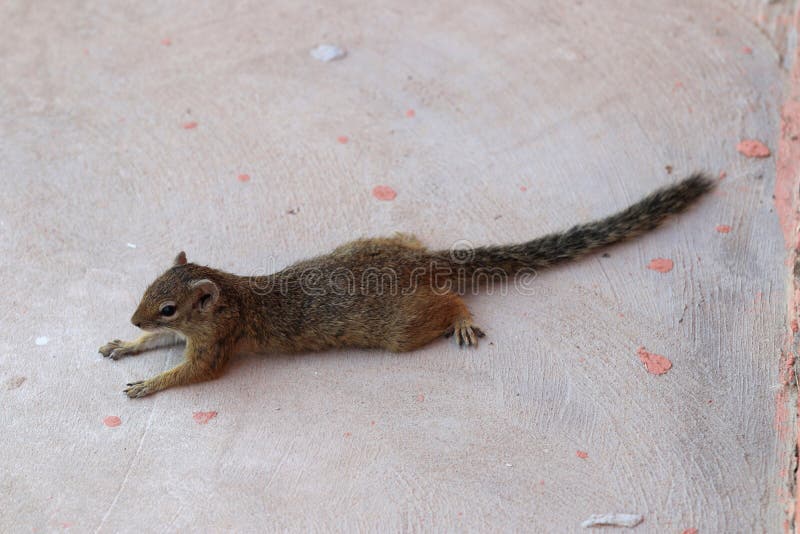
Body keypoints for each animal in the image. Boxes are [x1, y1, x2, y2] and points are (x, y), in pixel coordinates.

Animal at [99, 173, 714, 398]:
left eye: (168, 306)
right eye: (148, 290)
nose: (132, 316)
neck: (227, 295)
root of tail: (426, 265)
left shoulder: (215, 343)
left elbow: (194, 372)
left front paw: (149, 383)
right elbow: (153, 349)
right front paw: (123, 344)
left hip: (402, 325)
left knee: (452, 301)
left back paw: (462, 320)